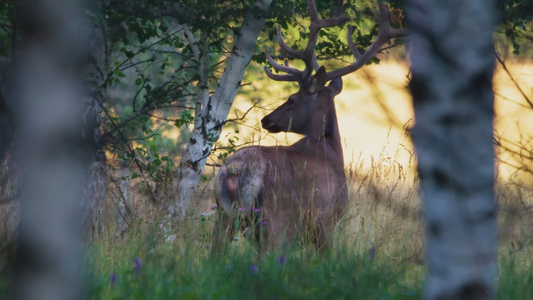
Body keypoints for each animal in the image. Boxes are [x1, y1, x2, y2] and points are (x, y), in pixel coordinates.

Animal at [212, 0, 404, 251]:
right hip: (276, 218)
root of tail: (236, 169)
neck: (329, 148)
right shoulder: (327, 220)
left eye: (292, 100)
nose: (266, 120)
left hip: (223, 215)